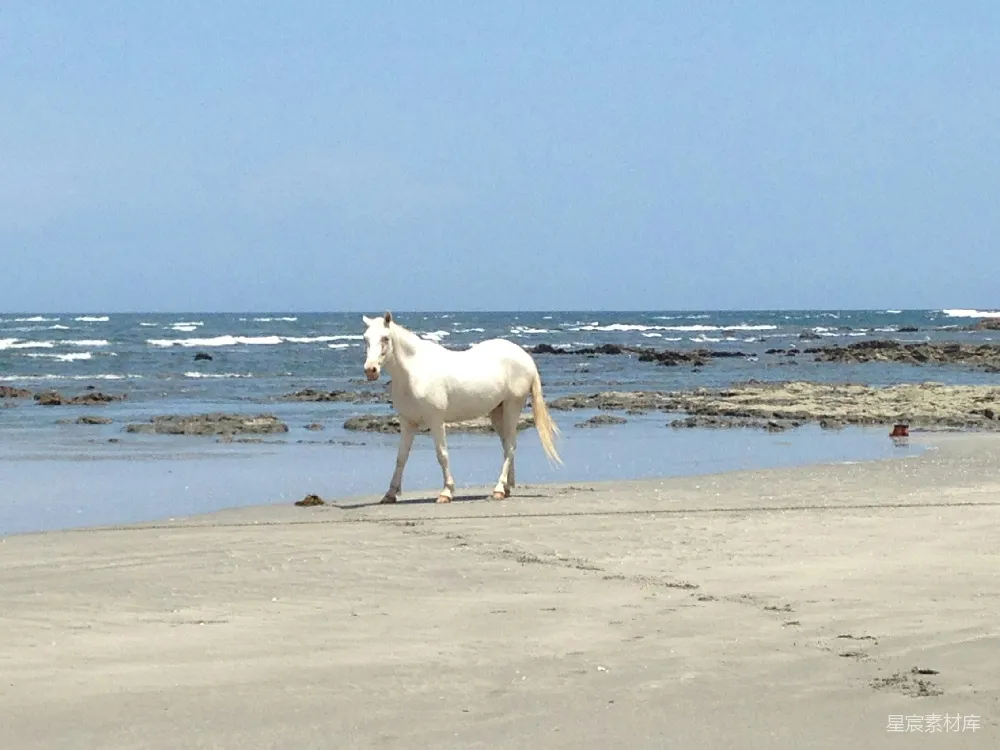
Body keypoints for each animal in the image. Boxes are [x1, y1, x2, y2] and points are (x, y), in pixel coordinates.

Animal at [361, 311, 562, 504]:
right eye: (365, 338)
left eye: (385, 338)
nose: (370, 370)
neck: (414, 371)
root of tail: (526, 357)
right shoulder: (407, 422)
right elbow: (401, 457)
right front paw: (390, 494)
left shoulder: (435, 420)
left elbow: (442, 454)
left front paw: (446, 492)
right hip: (497, 412)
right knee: (506, 446)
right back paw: (505, 488)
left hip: (512, 406)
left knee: (511, 446)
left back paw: (498, 489)